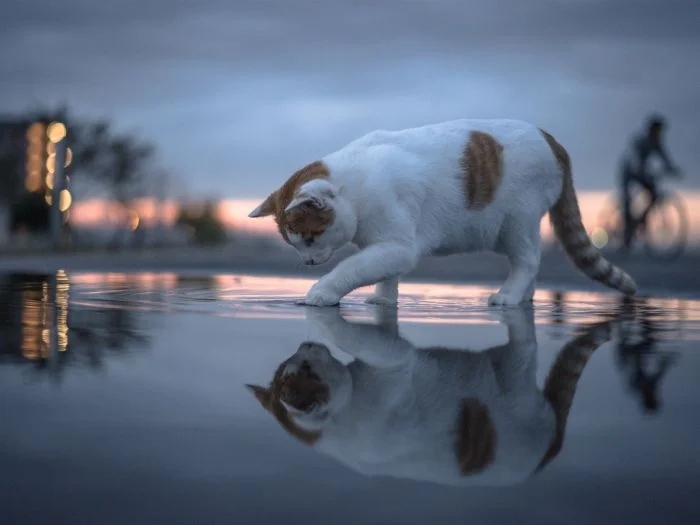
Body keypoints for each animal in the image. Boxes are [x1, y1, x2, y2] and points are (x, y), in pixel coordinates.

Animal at [245, 304, 612, 486]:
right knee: (524, 352)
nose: (306, 343)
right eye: (305, 366)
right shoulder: (394, 360)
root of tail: (549, 453)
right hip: (515, 379)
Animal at [249, 117, 636, 308]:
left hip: (517, 220)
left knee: (528, 260)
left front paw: (321, 293)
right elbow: (382, 273)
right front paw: (383, 300)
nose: (308, 263)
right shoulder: (386, 244)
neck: (355, 186)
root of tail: (553, 141)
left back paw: (509, 296)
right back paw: (525, 297)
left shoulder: (398, 245)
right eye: (296, 244)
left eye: (310, 238)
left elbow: (352, 268)